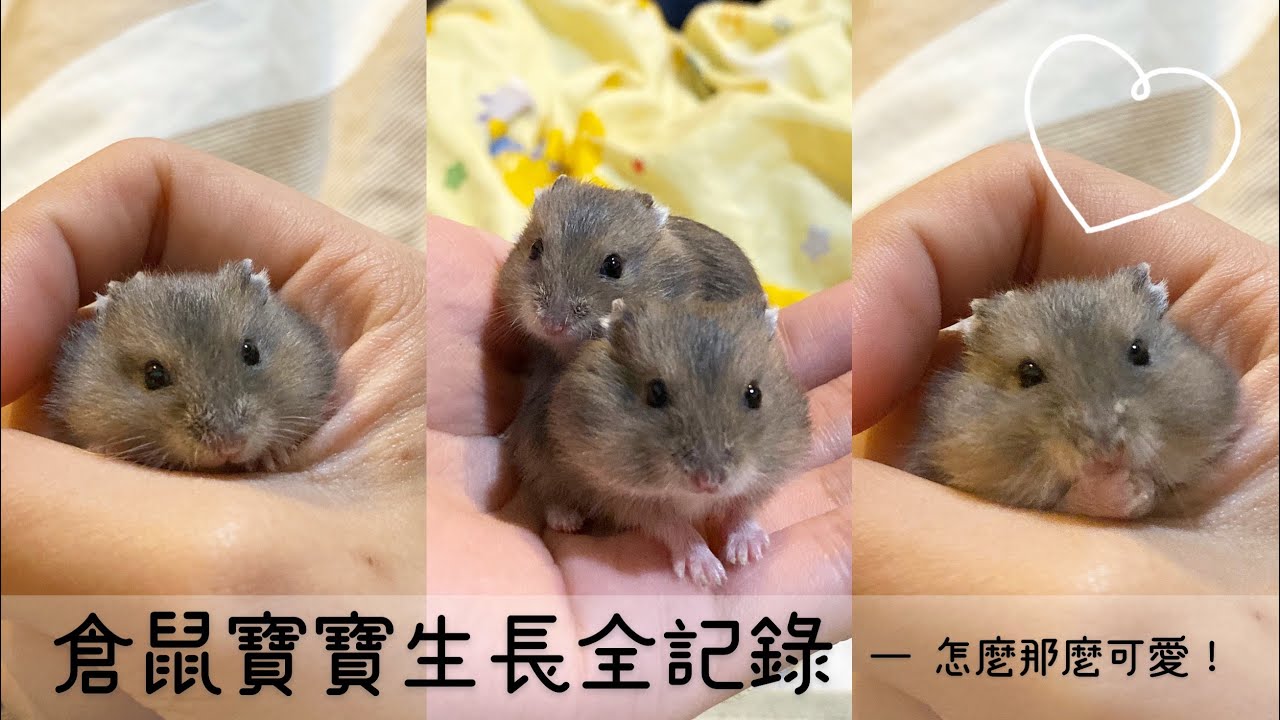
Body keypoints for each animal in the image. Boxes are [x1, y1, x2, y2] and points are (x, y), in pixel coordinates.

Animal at [537, 296, 811, 586]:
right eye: (655, 393)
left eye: (754, 394)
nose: (709, 483)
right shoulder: (626, 496)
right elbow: (676, 528)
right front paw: (709, 574)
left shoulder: (760, 480)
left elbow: (741, 509)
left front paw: (747, 554)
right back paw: (567, 521)